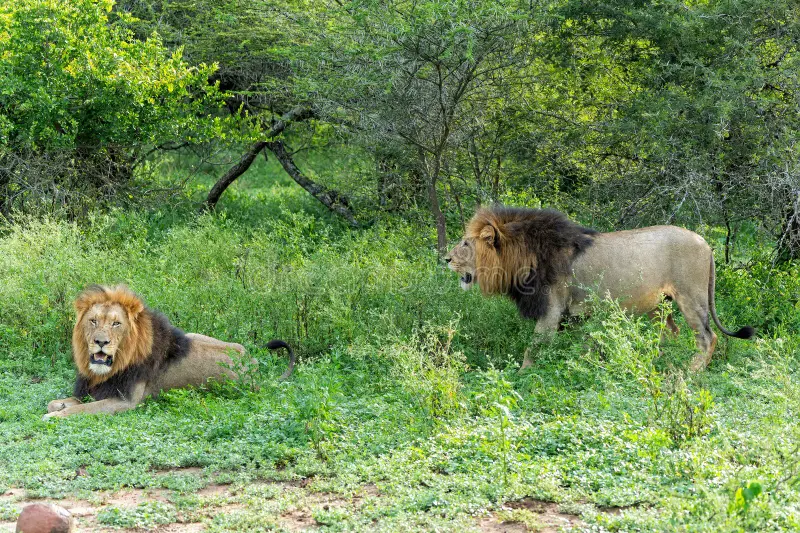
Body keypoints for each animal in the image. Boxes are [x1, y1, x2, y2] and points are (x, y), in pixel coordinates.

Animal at [43, 285, 295, 419]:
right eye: (93, 321)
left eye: (116, 324)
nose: (100, 342)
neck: (107, 370)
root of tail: (253, 365)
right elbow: (58, 403)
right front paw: (59, 406)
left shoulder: (125, 401)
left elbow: (82, 410)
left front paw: (53, 417)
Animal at [445, 207, 754, 371]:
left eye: (465, 244)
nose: (445, 259)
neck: (522, 257)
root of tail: (707, 244)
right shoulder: (575, 314)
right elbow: (580, 348)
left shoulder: (551, 310)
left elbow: (533, 349)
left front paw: (521, 376)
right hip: (660, 303)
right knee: (671, 332)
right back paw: (658, 362)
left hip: (692, 298)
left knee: (707, 337)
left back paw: (689, 373)